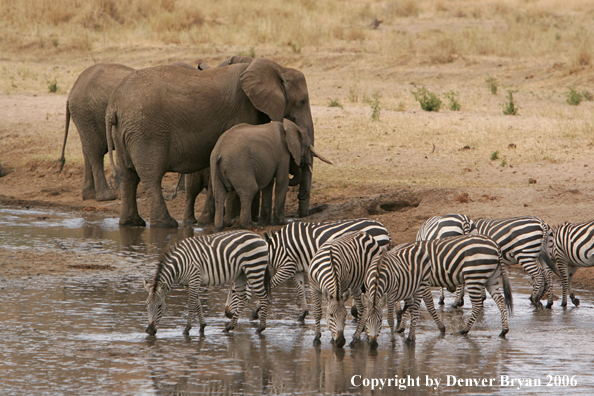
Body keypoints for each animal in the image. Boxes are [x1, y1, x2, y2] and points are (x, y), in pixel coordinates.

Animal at [57, 61, 206, 201]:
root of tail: (71, 92)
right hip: (86, 113)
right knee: (96, 151)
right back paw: (106, 197)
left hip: (85, 115)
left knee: (87, 149)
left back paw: (89, 195)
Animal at [108, 57, 316, 227]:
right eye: (302, 101)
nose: (303, 214)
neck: (278, 68)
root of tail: (113, 106)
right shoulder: (244, 110)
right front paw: (232, 220)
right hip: (146, 132)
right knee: (151, 176)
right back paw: (166, 225)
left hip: (126, 131)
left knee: (129, 176)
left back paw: (131, 223)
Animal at [225, 218, 388, 324]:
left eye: (233, 292)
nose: (226, 314)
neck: (276, 249)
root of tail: (383, 227)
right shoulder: (297, 270)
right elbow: (300, 290)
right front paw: (302, 314)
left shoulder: (287, 267)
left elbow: (269, 285)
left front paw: (254, 312)